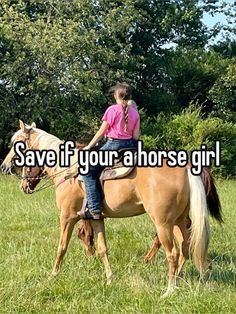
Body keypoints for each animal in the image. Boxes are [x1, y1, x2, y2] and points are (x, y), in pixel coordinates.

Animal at [0, 120, 222, 296]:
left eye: (17, 145)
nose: (4, 166)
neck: (69, 169)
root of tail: (185, 167)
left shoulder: (67, 217)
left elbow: (61, 247)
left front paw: (52, 276)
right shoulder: (96, 218)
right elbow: (102, 249)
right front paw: (109, 279)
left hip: (163, 223)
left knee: (173, 252)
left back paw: (169, 289)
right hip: (178, 220)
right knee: (186, 245)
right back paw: (180, 278)